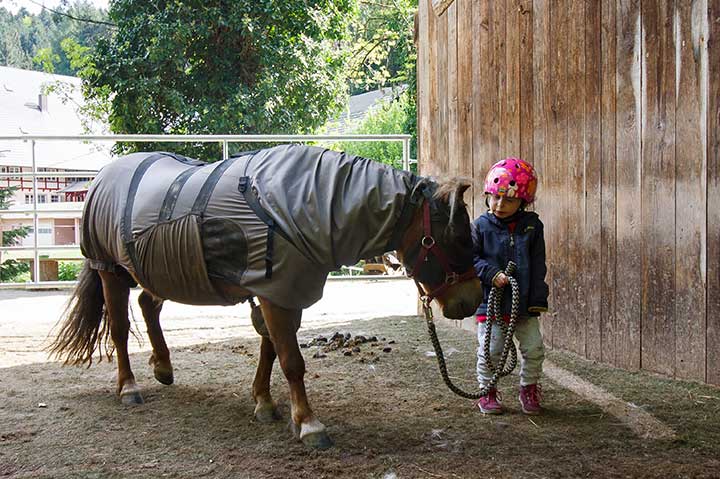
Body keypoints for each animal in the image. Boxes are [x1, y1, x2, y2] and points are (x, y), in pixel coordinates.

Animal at [47, 143, 480, 450]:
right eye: (458, 237)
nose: (473, 300)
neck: (304, 202)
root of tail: (104, 176)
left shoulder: (282, 291)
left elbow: (270, 350)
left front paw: (264, 403)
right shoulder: (277, 295)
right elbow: (291, 360)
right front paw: (307, 423)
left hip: (159, 272)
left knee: (147, 305)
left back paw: (163, 366)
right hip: (110, 270)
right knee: (120, 328)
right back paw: (129, 387)